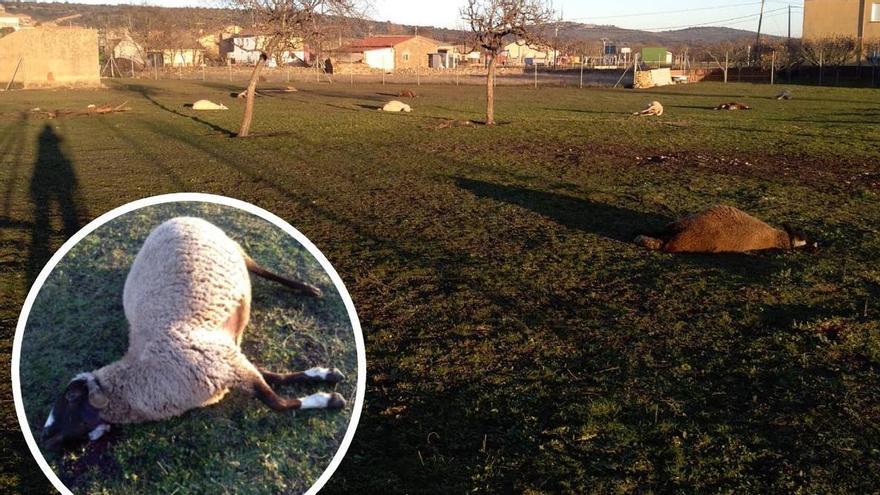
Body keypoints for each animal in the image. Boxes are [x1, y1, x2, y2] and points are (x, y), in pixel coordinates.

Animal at [42, 217, 344, 450]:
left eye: (68, 401)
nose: (45, 438)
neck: (147, 371)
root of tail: (177, 218)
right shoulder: (227, 359)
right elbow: (276, 378)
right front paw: (325, 376)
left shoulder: (224, 360)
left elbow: (277, 402)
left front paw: (329, 399)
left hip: (234, 247)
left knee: (263, 270)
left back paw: (309, 289)